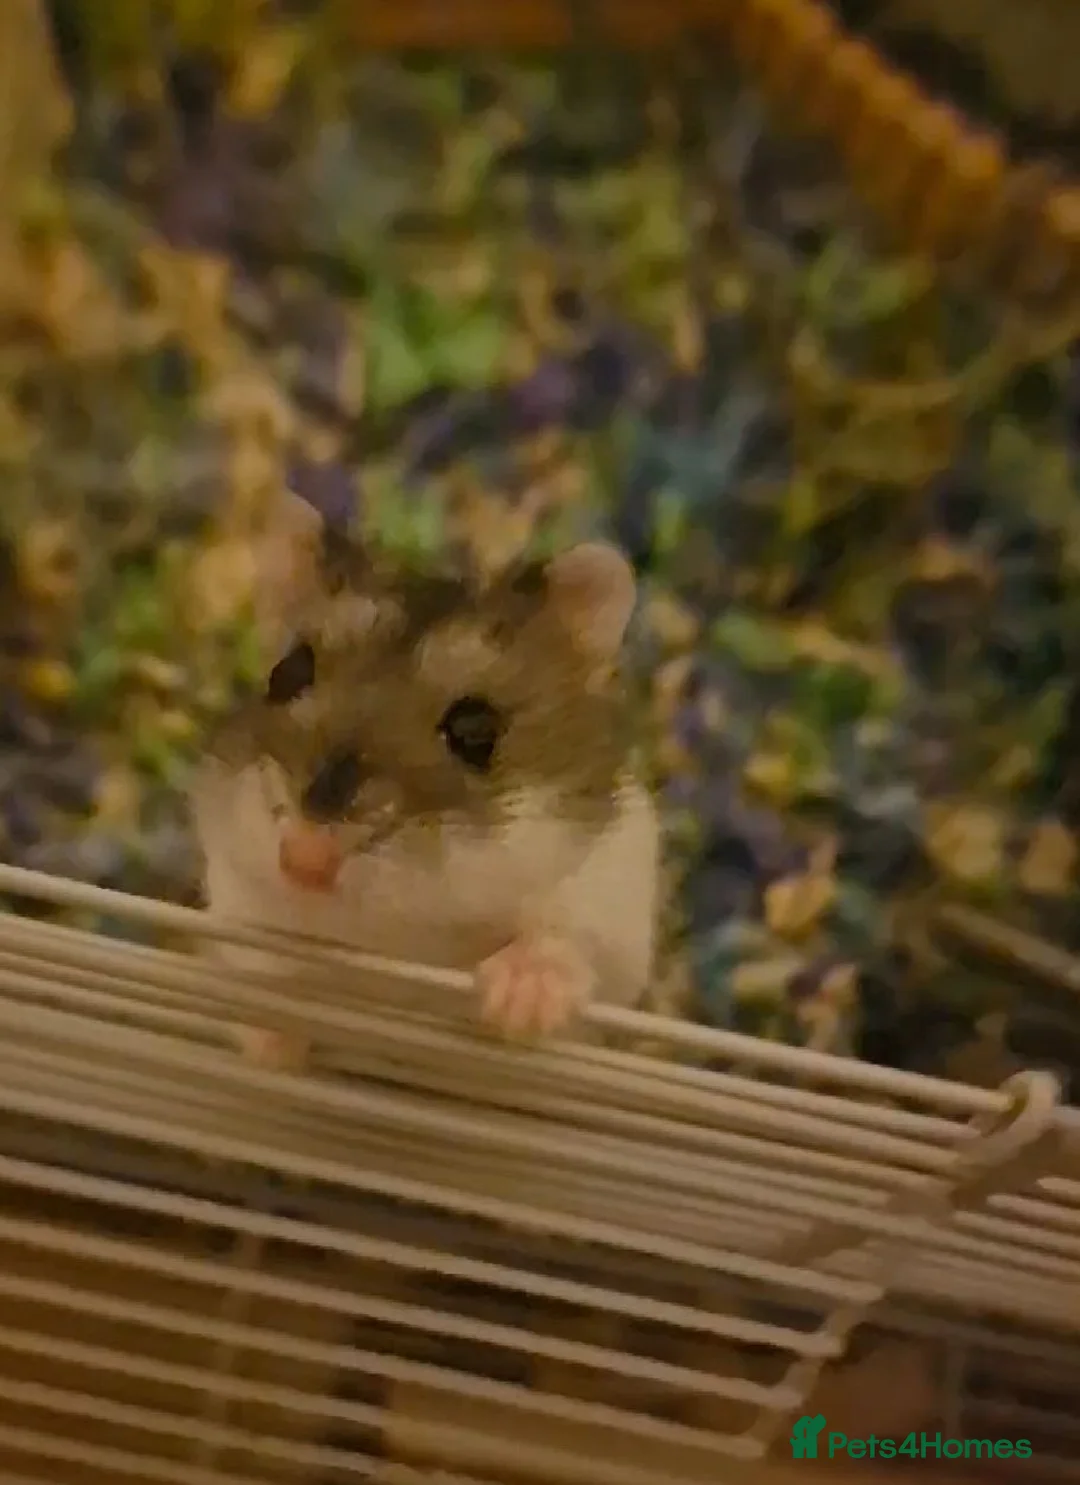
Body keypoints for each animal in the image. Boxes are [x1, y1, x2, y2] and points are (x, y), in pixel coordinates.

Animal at [190, 487, 660, 1069]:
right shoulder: (235, 897)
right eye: (286, 674)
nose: (302, 860)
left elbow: (570, 942)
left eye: (476, 730)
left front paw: (517, 1006)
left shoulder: (614, 889)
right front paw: (272, 1046)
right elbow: (260, 968)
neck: (398, 941)